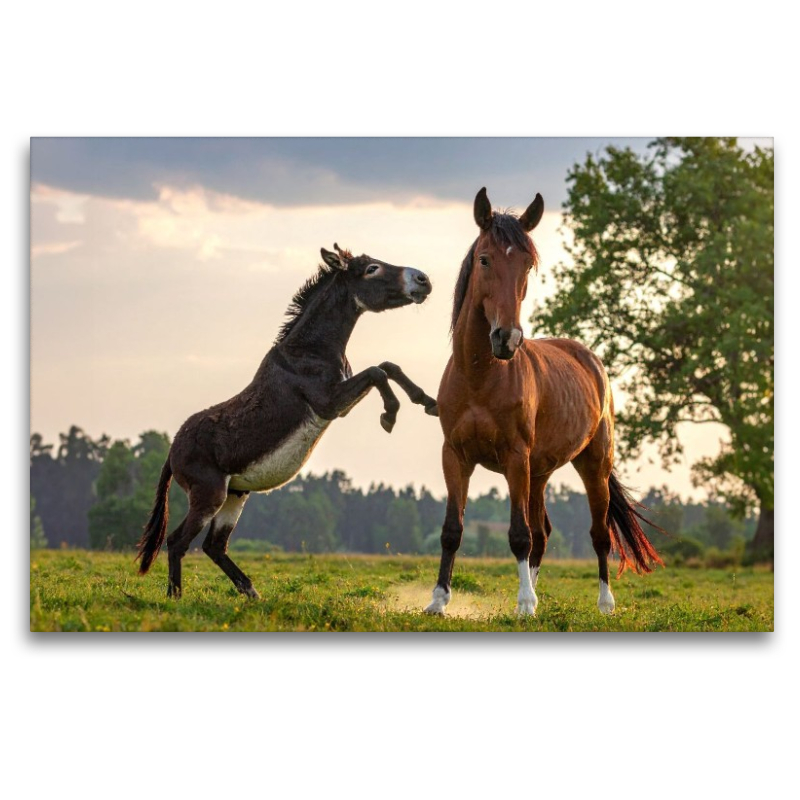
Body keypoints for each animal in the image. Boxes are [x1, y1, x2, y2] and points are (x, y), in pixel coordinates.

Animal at [137, 244, 438, 599]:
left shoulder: (341, 400)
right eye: (371, 269)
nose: (423, 279)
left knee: (214, 546)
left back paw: (251, 594)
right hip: (209, 494)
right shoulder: (329, 403)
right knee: (177, 542)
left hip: (235, 494)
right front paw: (390, 414)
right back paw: (176, 598)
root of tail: (172, 451)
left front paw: (428, 402)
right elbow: (378, 371)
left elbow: (389, 366)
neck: (310, 349)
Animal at [425, 188, 663, 617]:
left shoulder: (515, 457)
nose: (507, 338)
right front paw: (438, 600)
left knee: (597, 534)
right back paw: (534, 592)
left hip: (591, 465)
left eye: (527, 264)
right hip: (538, 473)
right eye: (485, 259)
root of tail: (591, 361)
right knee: (543, 533)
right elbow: (453, 530)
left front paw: (524, 604)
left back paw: (603, 602)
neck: (479, 377)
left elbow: (519, 535)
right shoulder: (455, 456)